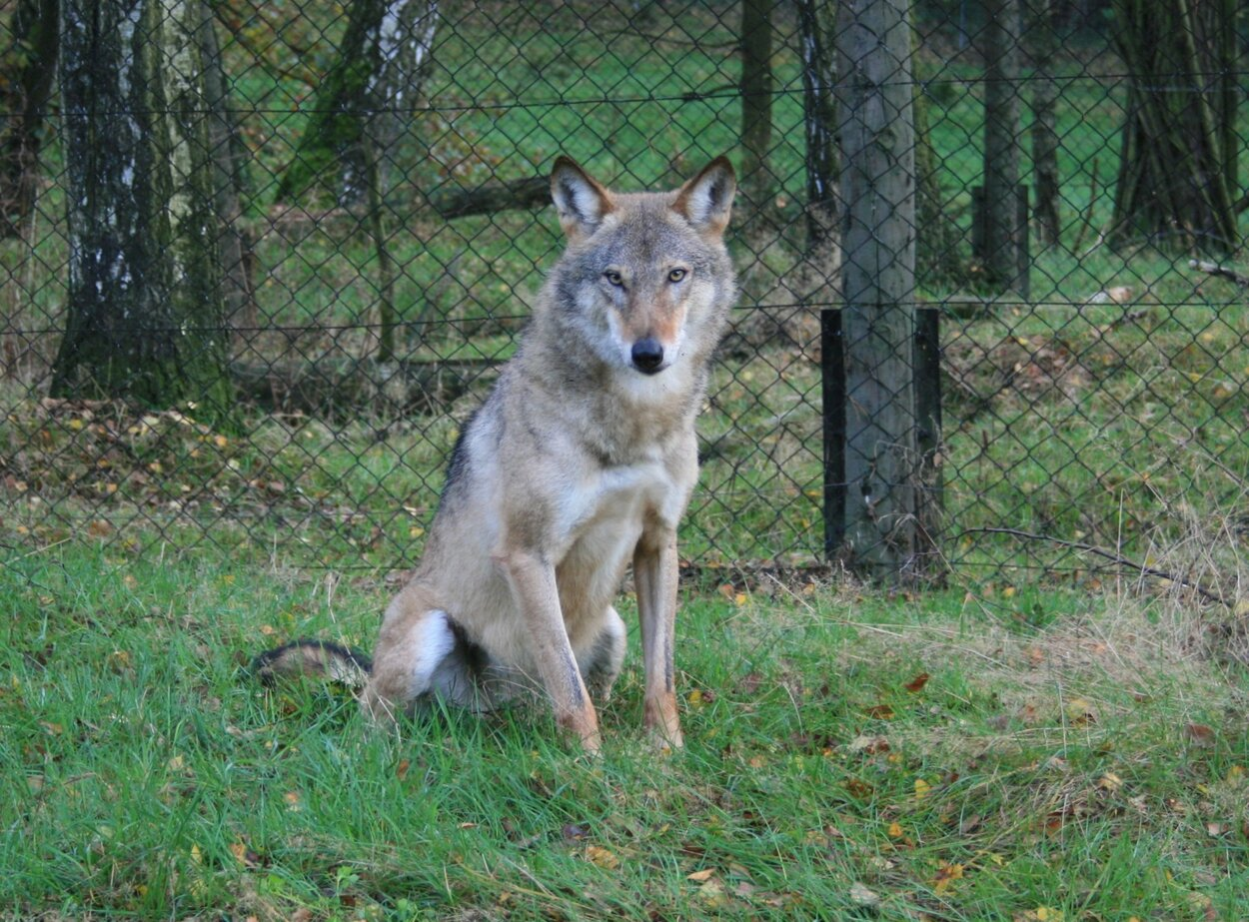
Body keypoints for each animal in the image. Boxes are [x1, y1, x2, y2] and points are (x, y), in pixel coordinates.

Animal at [255, 155, 737, 752]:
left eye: (676, 275)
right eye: (614, 277)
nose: (648, 354)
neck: (635, 423)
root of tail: (494, 713)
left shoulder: (658, 541)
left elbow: (660, 679)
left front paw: (666, 754)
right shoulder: (527, 553)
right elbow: (570, 693)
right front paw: (591, 765)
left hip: (614, 629)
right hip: (428, 633)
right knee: (371, 724)